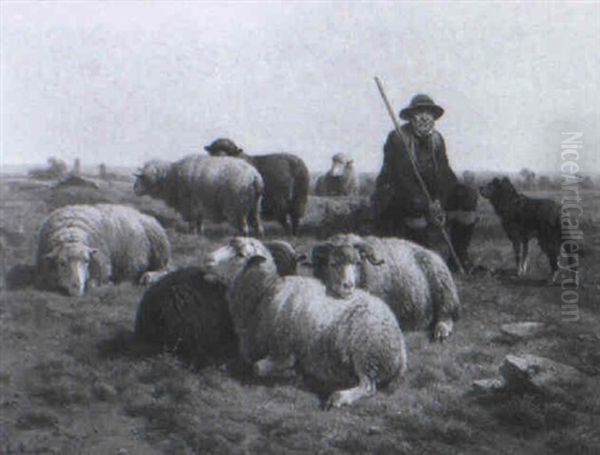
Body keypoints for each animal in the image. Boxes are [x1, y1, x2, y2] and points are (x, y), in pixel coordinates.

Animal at [35, 205, 171, 298]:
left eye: (87, 261)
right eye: (62, 263)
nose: (77, 287)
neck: (71, 233)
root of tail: (141, 214)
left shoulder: (103, 265)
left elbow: (95, 283)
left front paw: (106, 284)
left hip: (158, 250)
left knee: (164, 270)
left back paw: (148, 277)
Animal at [135, 155, 264, 237]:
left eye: (143, 177)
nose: (134, 188)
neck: (171, 178)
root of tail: (254, 176)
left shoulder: (188, 204)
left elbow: (192, 220)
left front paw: (192, 233)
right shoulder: (198, 205)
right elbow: (199, 220)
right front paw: (199, 232)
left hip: (236, 208)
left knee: (243, 228)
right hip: (255, 206)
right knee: (257, 223)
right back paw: (258, 236)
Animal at [203, 239, 408, 410]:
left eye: (240, 254)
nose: (207, 260)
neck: (263, 294)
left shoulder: (284, 351)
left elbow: (257, 367)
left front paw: (291, 373)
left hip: (367, 353)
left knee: (368, 386)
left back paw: (339, 397)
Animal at [310, 235, 460, 342]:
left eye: (357, 262)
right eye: (332, 263)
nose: (348, 285)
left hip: (443, 288)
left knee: (446, 312)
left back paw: (441, 330)